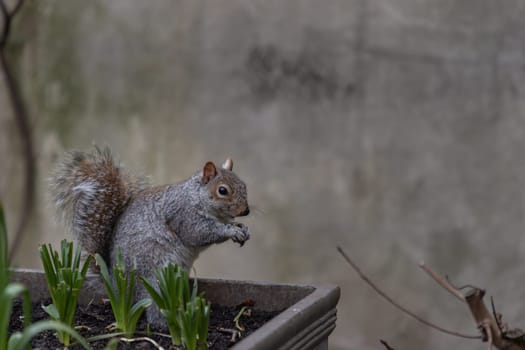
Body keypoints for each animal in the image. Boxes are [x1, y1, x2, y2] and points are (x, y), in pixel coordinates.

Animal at [50, 147, 251, 326]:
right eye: (222, 190)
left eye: (244, 185)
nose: (246, 211)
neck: (196, 196)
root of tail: (116, 285)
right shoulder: (184, 216)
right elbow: (200, 232)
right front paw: (231, 231)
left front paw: (242, 229)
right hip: (155, 276)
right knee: (154, 308)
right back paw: (169, 322)